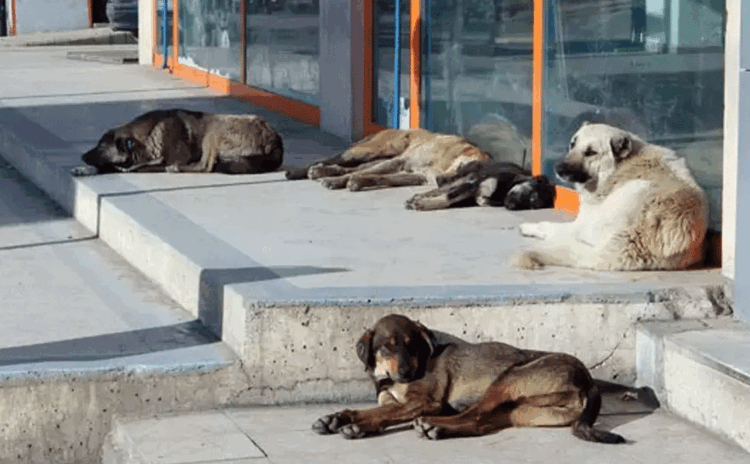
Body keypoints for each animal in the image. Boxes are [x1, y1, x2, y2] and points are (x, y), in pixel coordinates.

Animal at [314, 314, 632, 444]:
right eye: (386, 347)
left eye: (411, 345)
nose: (405, 373)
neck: (390, 380)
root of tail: (589, 379)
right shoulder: (391, 400)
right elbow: (373, 411)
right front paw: (338, 418)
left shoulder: (424, 402)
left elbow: (381, 415)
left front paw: (354, 424)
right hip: (519, 411)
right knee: (480, 424)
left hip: (508, 379)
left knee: (474, 415)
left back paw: (433, 426)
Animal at [516, 123, 708, 270]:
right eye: (572, 144)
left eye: (591, 152)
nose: (559, 169)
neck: (620, 166)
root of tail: (636, 239)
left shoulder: (580, 224)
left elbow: (547, 225)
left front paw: (529, 227)